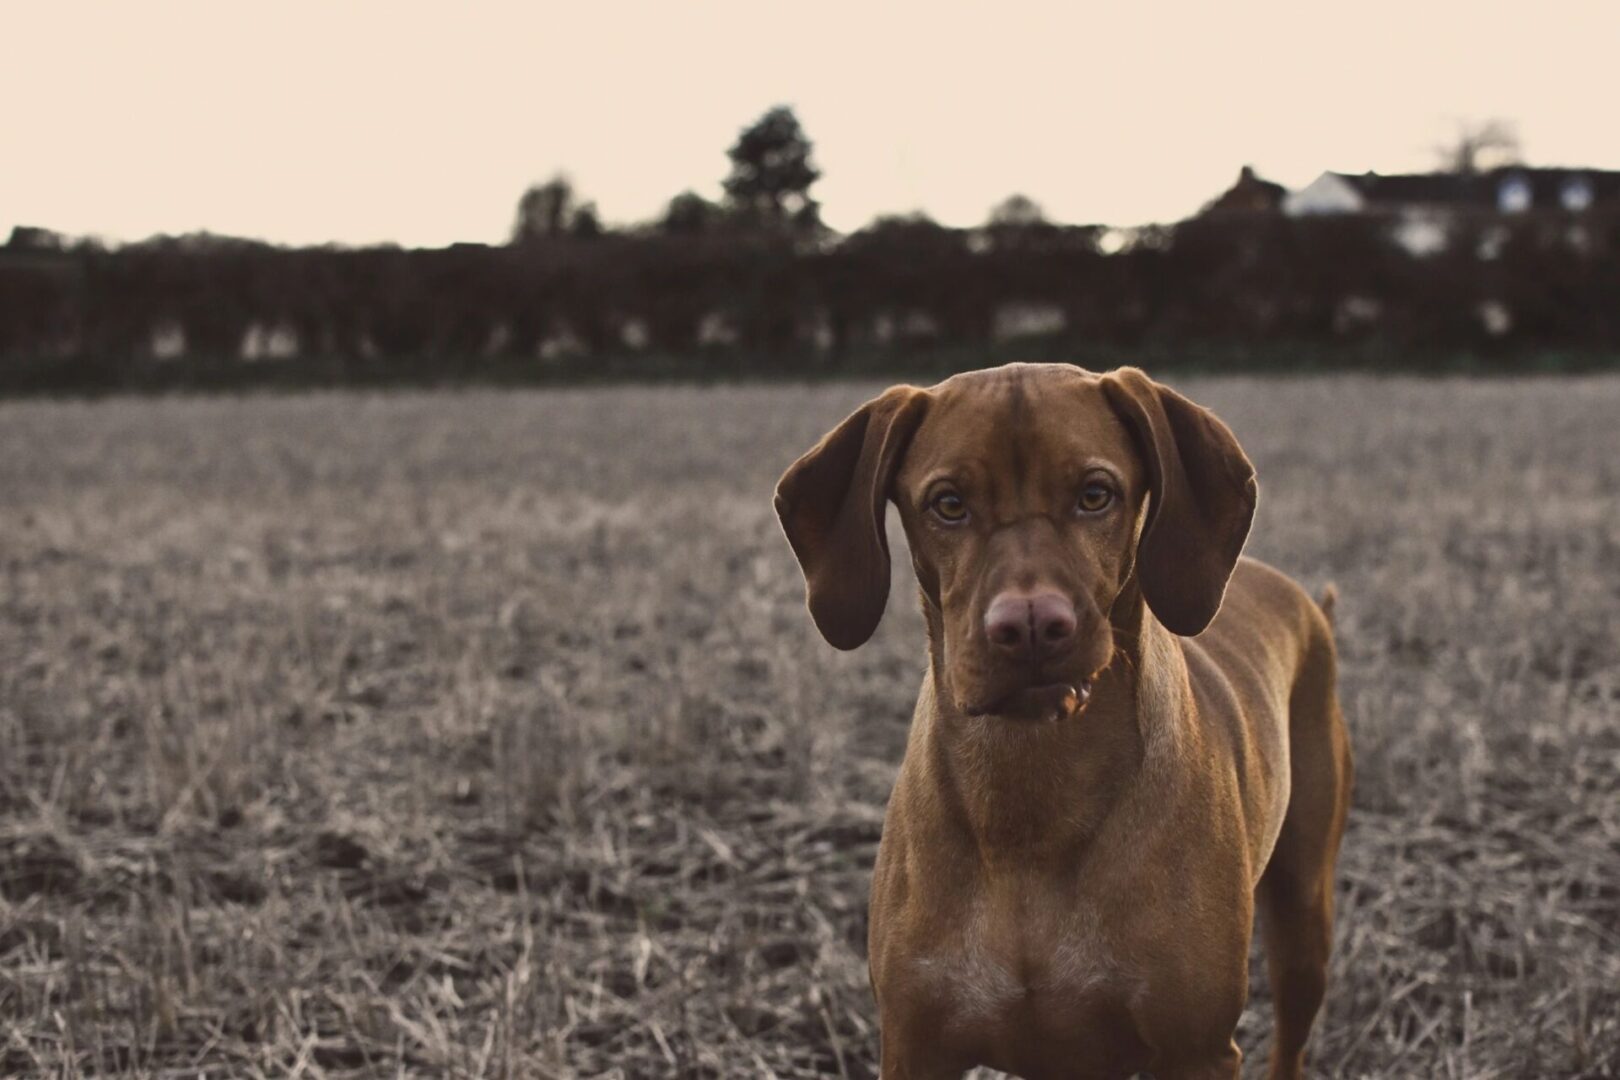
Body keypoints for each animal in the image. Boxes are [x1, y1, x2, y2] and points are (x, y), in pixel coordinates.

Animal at [777, 365, 1347, 1080]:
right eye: (948, 504)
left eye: (1096, 494)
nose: (1030, 627)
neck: (1031, 799)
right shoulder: (914, 1045)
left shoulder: (1198, 1049)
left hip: (1304, 922)